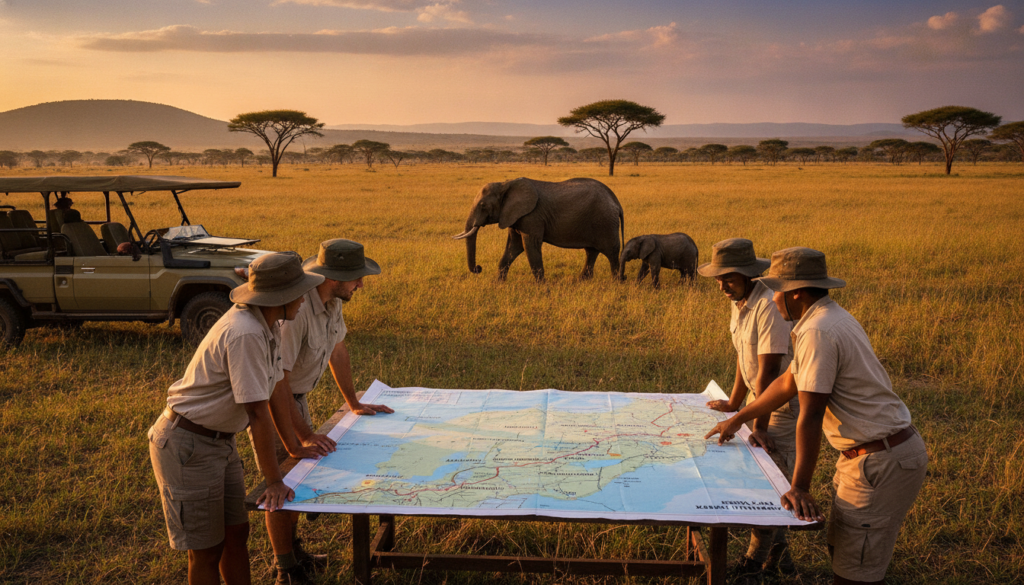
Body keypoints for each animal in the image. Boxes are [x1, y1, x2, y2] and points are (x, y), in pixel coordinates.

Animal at [452, 177, 625, 282]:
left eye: (483, 205)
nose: (478, 268)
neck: (505, 184)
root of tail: (616, 201)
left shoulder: (532, 216)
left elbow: (530, 245)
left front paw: (542, 287)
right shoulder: (514, 216)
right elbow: (513, 247)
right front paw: (498, 284)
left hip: (605, 222)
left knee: (611, 252)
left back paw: (617, 282)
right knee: (591, 251)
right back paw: (582, 280)